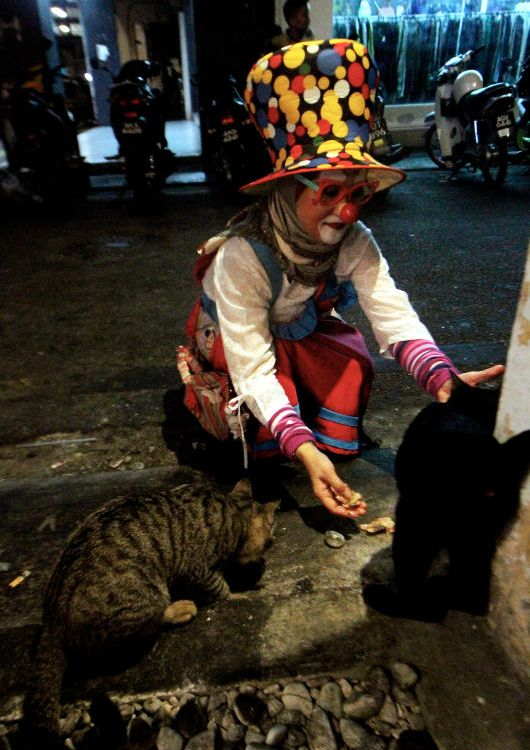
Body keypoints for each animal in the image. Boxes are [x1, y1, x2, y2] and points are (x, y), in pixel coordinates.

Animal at [21, 478, 276, 748]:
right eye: (270, 541)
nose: (265, 557)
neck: (233, 508)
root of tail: (51, 622)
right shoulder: (198, 569)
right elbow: (220, 588)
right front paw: (238, 595)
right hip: (143, 600)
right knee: (153, 620)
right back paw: (180, 609)